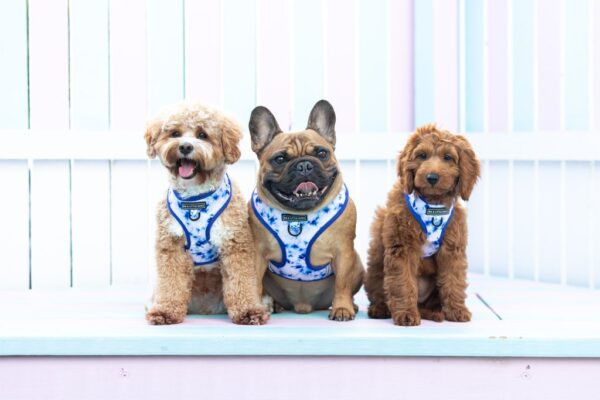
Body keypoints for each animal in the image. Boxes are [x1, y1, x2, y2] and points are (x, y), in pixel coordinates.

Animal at [364, 124, 480, 324]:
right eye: (422, 155)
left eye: (447, 157)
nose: (432, 177)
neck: (432, 203)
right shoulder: (402, 247)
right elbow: (403, 282)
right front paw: (406, 314)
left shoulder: (452, 249)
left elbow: (453, 279)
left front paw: (457, 310)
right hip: (375, 271)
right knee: (379, 290)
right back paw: (380, 309)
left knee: (429, 303)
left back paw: (435, 312)